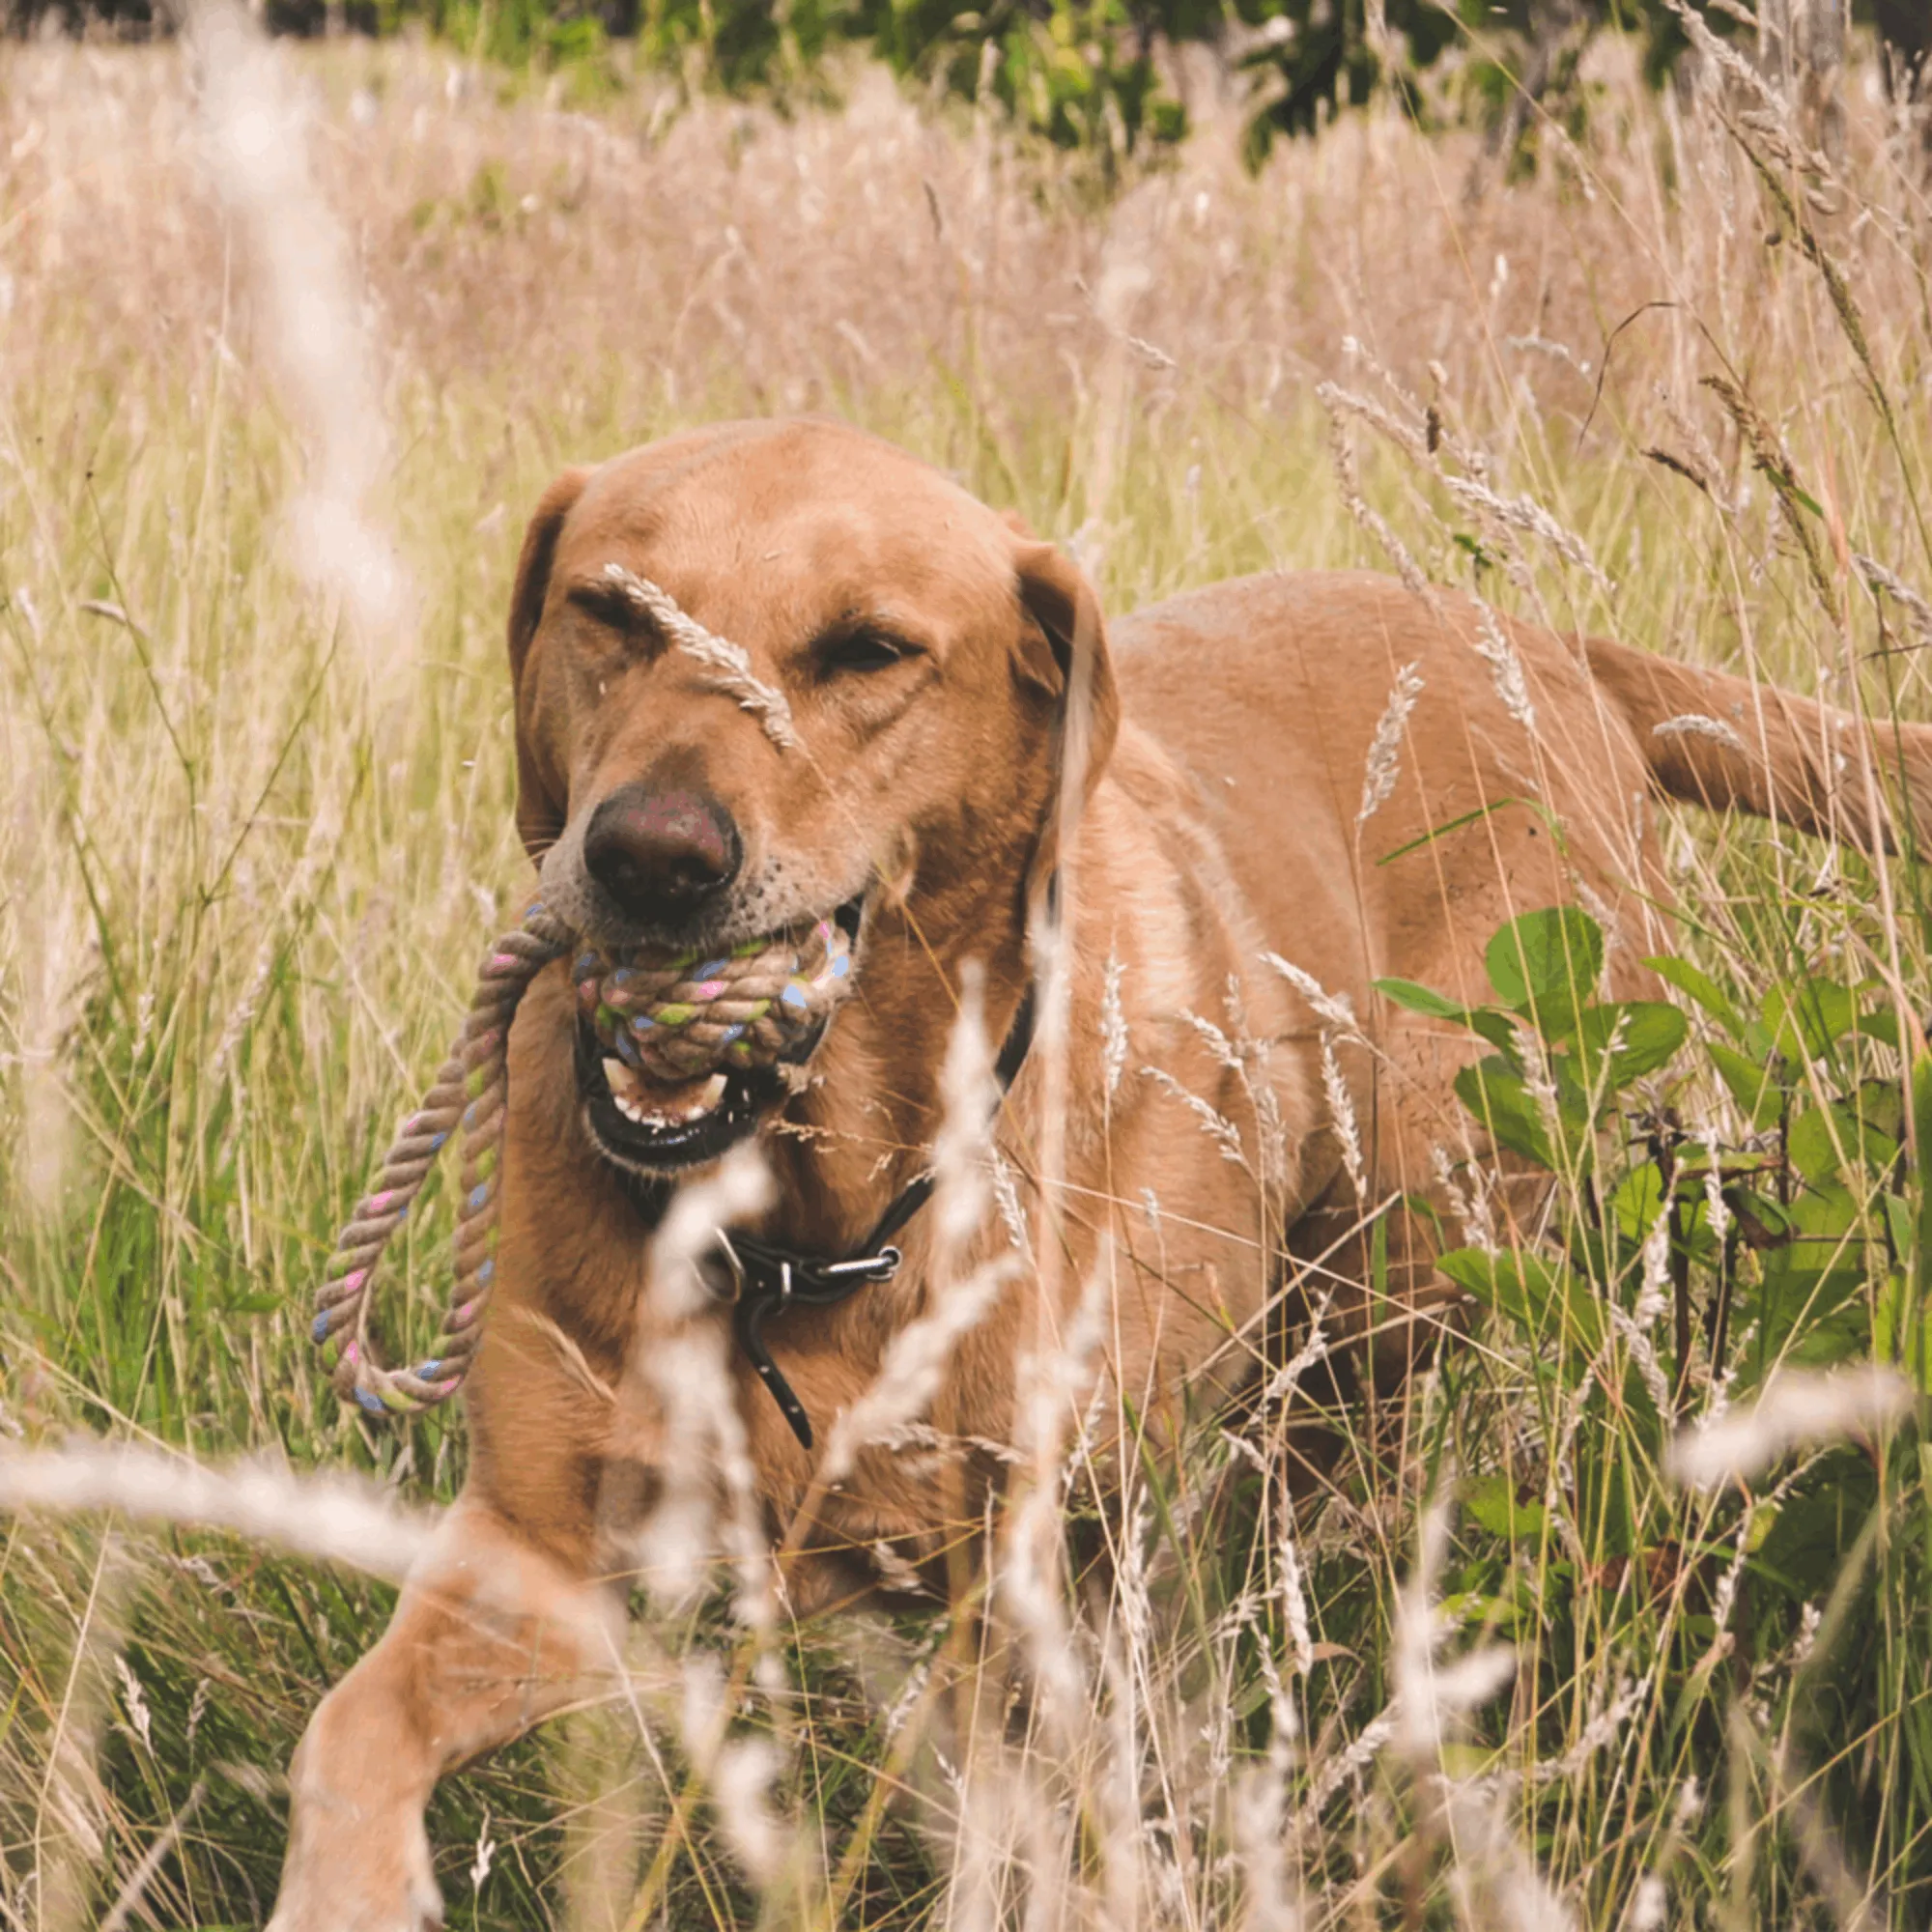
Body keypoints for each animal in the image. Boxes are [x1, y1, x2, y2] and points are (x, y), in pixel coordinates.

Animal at [261, 415, 1932, 1924]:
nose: (651, 857)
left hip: (1400, 1293)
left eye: (868, 650)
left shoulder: (1038, 1604)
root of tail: (1549, 646)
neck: (827, 1217)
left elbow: (1028, 1859)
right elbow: (351, 1735)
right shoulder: (541, 1554)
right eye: (609, 611)